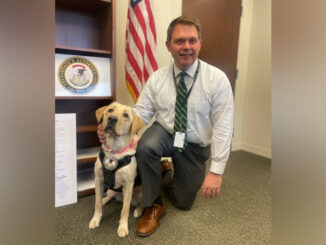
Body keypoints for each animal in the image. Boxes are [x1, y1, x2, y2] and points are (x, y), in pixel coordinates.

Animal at [89, 102, 145, 237]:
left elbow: (124, 210)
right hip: (111, 190)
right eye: (110, 110)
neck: (115, 150)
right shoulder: (98, 180)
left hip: (141, 192)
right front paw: (95, 219)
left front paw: (123, 227)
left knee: (142, 204)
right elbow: (97, 203)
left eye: (125, 115)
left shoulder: (128, 185)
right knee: (108, 196)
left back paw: (138, 210)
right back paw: (104, 199)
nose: (112, 119)